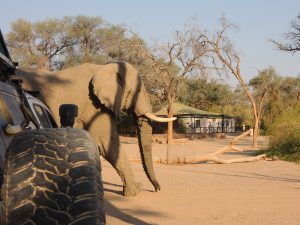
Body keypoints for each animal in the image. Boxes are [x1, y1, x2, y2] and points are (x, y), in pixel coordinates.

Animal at [17, 62, 176, 196]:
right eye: (137, 91)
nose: (157, 189)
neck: (104, 67)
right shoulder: (94, 105)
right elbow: (108, 143)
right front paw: (136, 191)